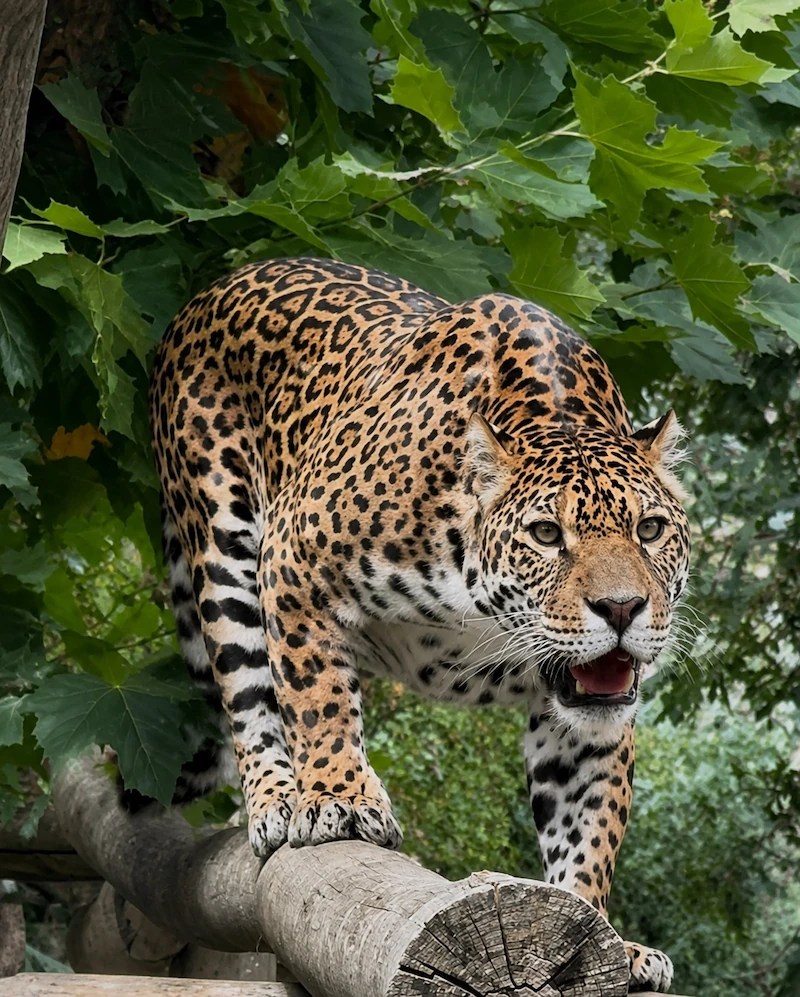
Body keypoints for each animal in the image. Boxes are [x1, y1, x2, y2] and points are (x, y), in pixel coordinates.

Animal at [148, 256, 690, 993]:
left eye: (650, 529)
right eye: (547, 534)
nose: (622, 609)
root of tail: (212, 290)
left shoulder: (586, 717)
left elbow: (589, 822)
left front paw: (600, 930)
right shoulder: (292, 552)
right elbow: (317, 699)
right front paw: (339, 798)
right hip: (222, 545)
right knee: (252, 695)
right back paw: (276, 799)